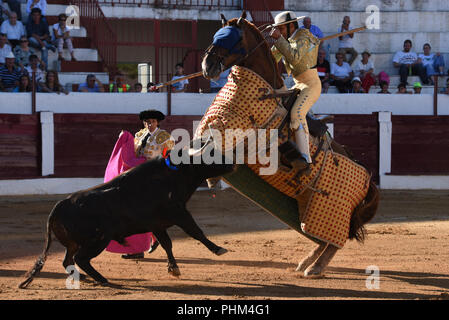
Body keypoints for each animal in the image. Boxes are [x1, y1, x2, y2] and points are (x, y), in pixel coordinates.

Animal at [18, 155, 234, 288]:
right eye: (211, 154)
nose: (232, 161)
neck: (177, 172)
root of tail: (59, 206)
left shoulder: (157, 224)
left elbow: (167, 244)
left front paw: (173, 269)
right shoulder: (179, 213)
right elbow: (196, 232)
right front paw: (218, 249)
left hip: (74, 243)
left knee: (67, 260)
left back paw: (84, 277)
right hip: (99, 240)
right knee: (81, 259)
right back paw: (102, 279)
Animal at [200, 11, 378, 278]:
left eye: (232, 39)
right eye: (215, 36)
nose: (207, 66)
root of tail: (369, 178)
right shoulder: (212, 124)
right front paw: (211, 178)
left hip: (332, 211)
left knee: (335, 242)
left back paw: (315, 267)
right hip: (310, 207)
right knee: (321, 239)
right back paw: (306, 262)